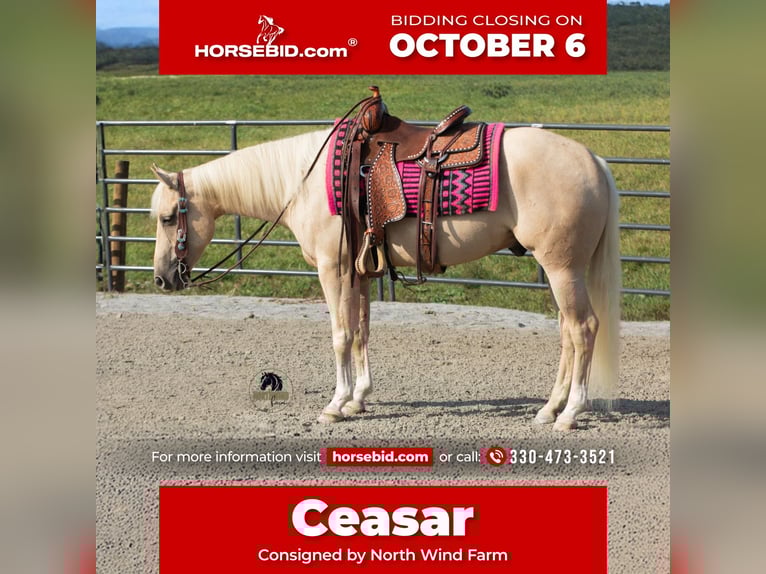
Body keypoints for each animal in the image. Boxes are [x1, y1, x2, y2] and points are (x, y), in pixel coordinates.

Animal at [150, 124, 621, 431]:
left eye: (168, 217)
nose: (161, 279)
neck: (303, 181)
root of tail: (593, 160)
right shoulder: (357, 273)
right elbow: (360, 332)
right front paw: (358, 398)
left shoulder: (333, 269)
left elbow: (340, 335)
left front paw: (335, 404)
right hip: (562, 271)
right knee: (567, 333)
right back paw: (549, 408)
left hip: (562, 270)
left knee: (583, 328)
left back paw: (570, 414)